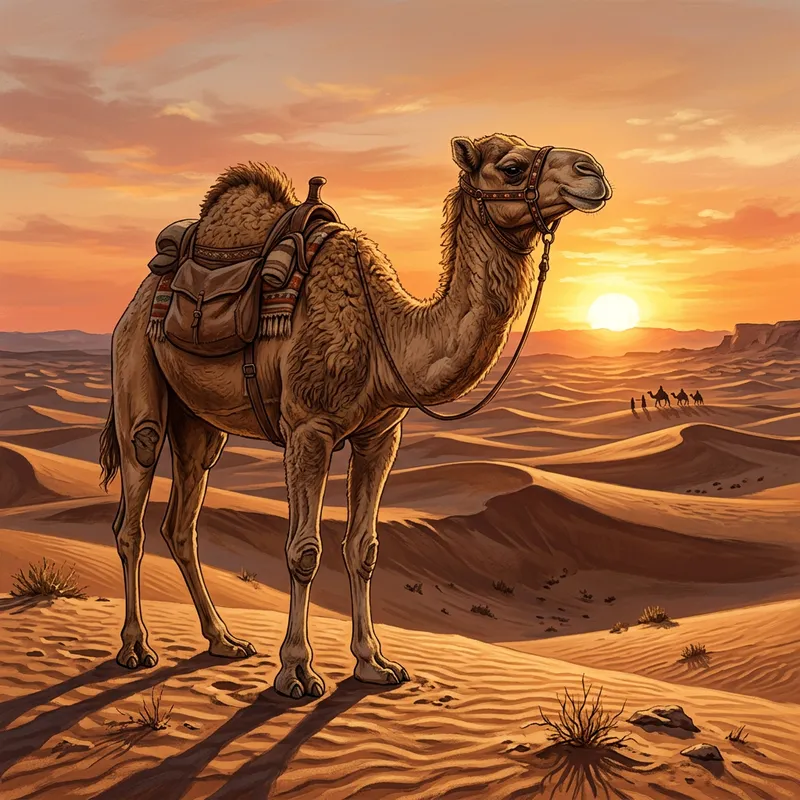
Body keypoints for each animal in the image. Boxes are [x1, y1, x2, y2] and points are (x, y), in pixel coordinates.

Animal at [99, 133, 612, 698]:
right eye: (513, 166)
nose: (592, 170)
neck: (385, 331)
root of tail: (141, 293)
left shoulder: (380, 434)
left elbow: (363, 548)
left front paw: (374, 664)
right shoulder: (309, 428)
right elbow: (304, 551)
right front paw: (297, 672)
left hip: (199, 423)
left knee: (182, 521)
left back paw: (224, 640)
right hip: (136, 367)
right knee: (134, 504)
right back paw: (135, 648)